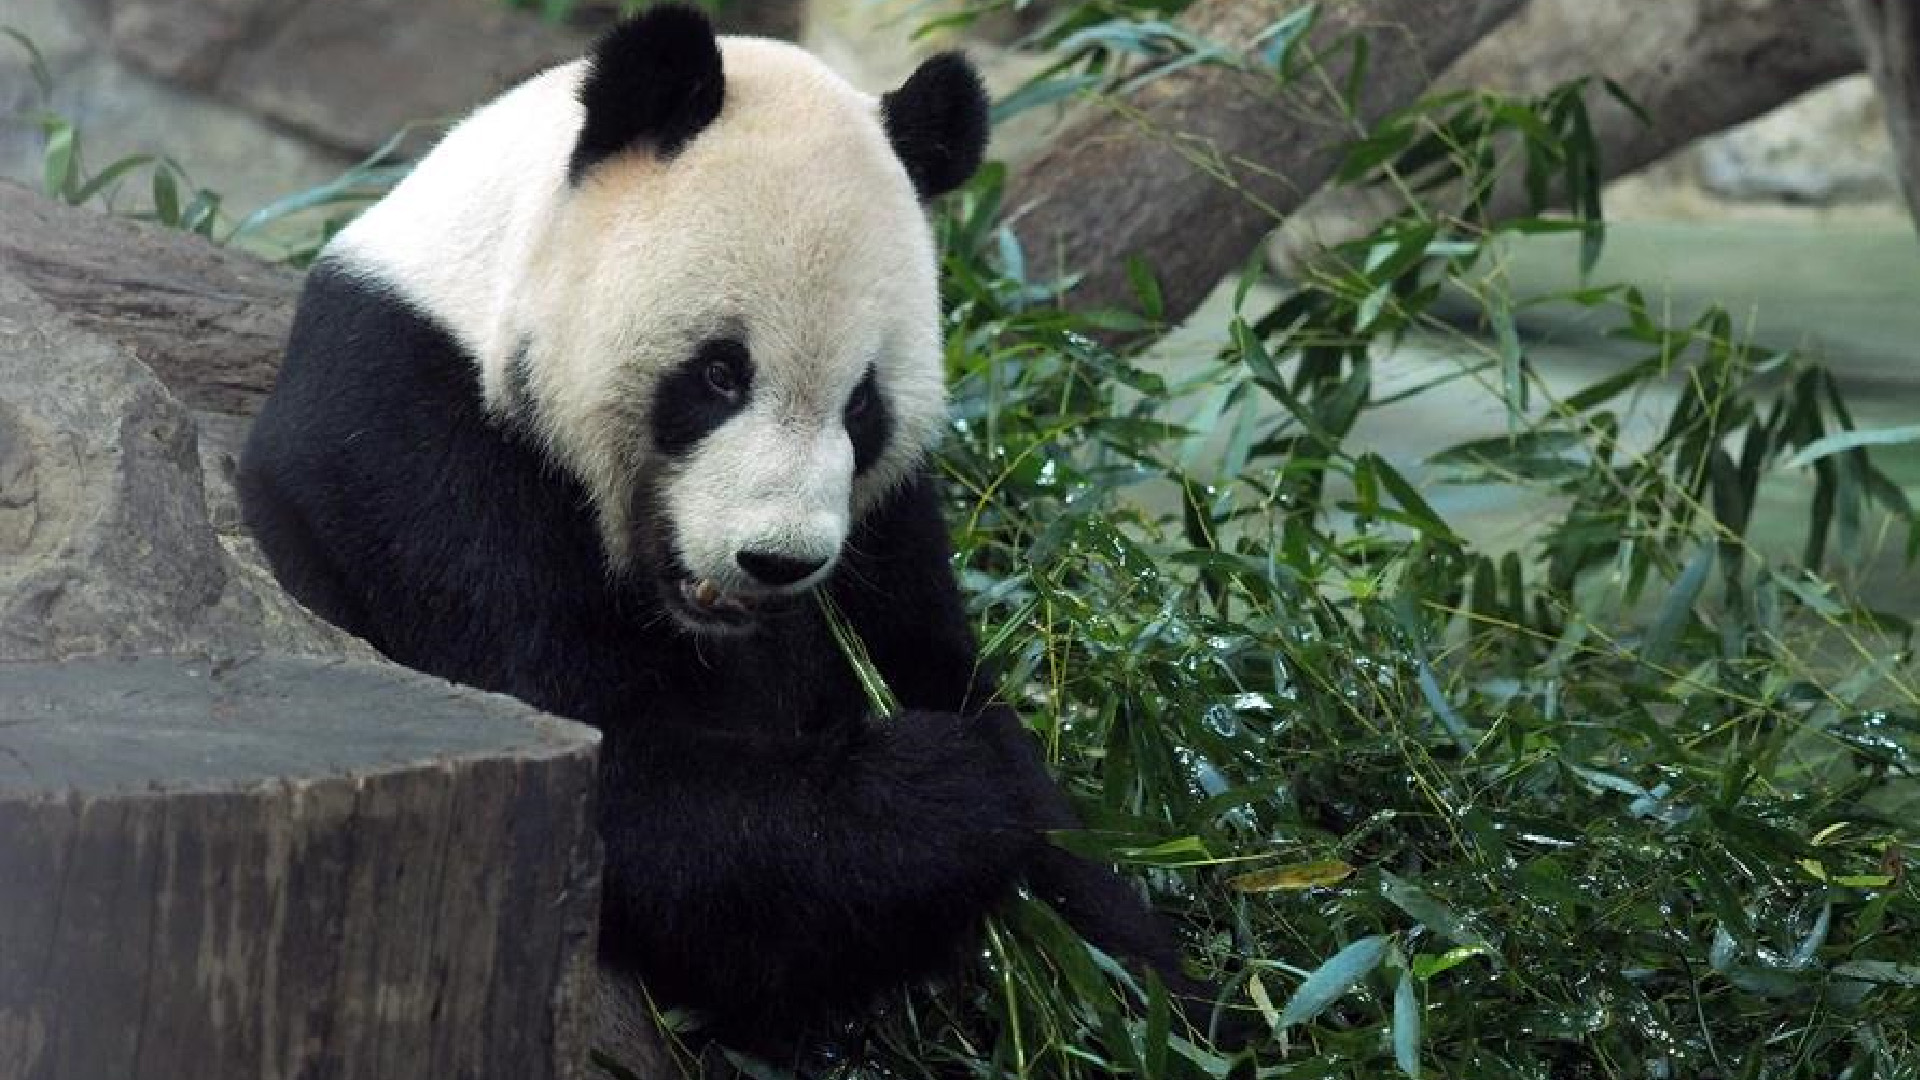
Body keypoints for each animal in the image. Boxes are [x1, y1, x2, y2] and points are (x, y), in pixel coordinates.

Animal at [238, 4, 1205, 1055]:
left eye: (863, 405)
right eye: (718, 374)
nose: (778, 560)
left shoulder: (883, 527)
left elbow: (955, 695)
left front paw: (1154, 996)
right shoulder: (417, 447)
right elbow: (608, 775)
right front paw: (949, 784)